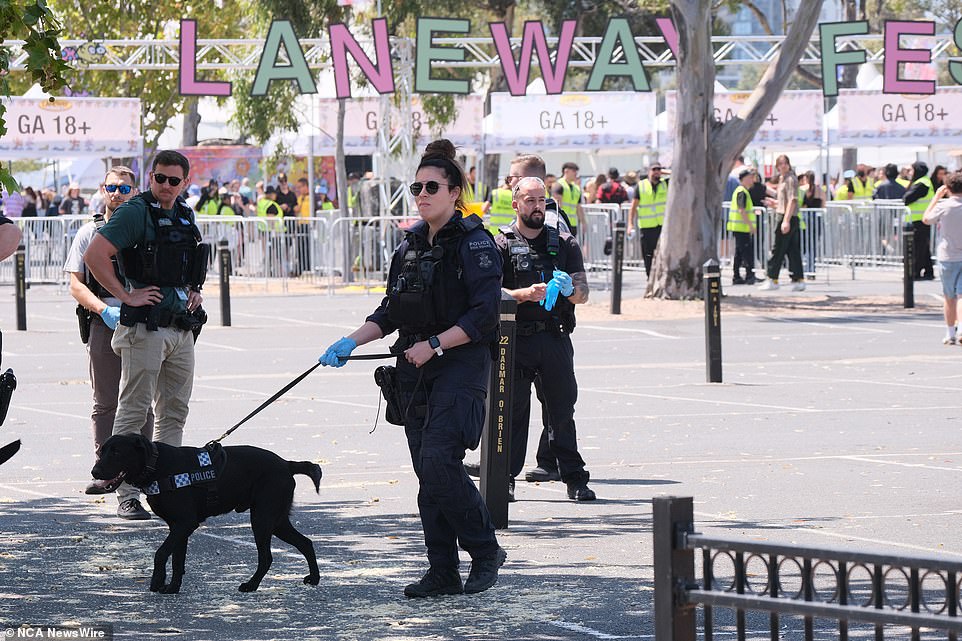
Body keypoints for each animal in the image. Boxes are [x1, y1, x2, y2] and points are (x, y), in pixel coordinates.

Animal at [95, 432, 324, 592]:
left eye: (116, 452)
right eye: (101, 451)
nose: (94, 471)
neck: (157, 465)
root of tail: (286, 464)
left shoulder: (184, 524)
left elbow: (161, 553)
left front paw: (157, 581)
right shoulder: (179, 527)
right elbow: (177, 560)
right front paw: (172, 588)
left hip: (262, 519)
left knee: (267, 557)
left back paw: (251, 585)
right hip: (277, 521)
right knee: (305, 543)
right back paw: (314, 578)